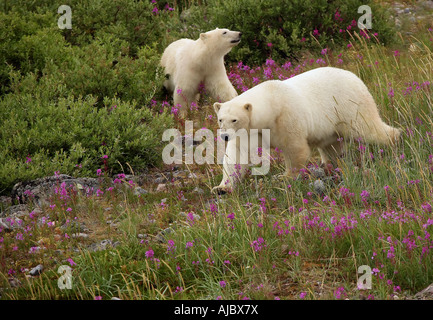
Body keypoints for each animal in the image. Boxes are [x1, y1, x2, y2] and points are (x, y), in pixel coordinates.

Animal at [213, 67, 402, 192]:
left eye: (234, 119)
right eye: (220, 119)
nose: (224, 136)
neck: (271, 101)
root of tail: (356, 77)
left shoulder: (286, 117)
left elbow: (295, 148)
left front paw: (285, 177)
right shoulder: (250, 131)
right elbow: (237, 154)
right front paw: (222, 188)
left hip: (349, 106)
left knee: (368, 129)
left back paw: (396, 140)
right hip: (331, 125)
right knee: (331, 147)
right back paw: (332, 165)